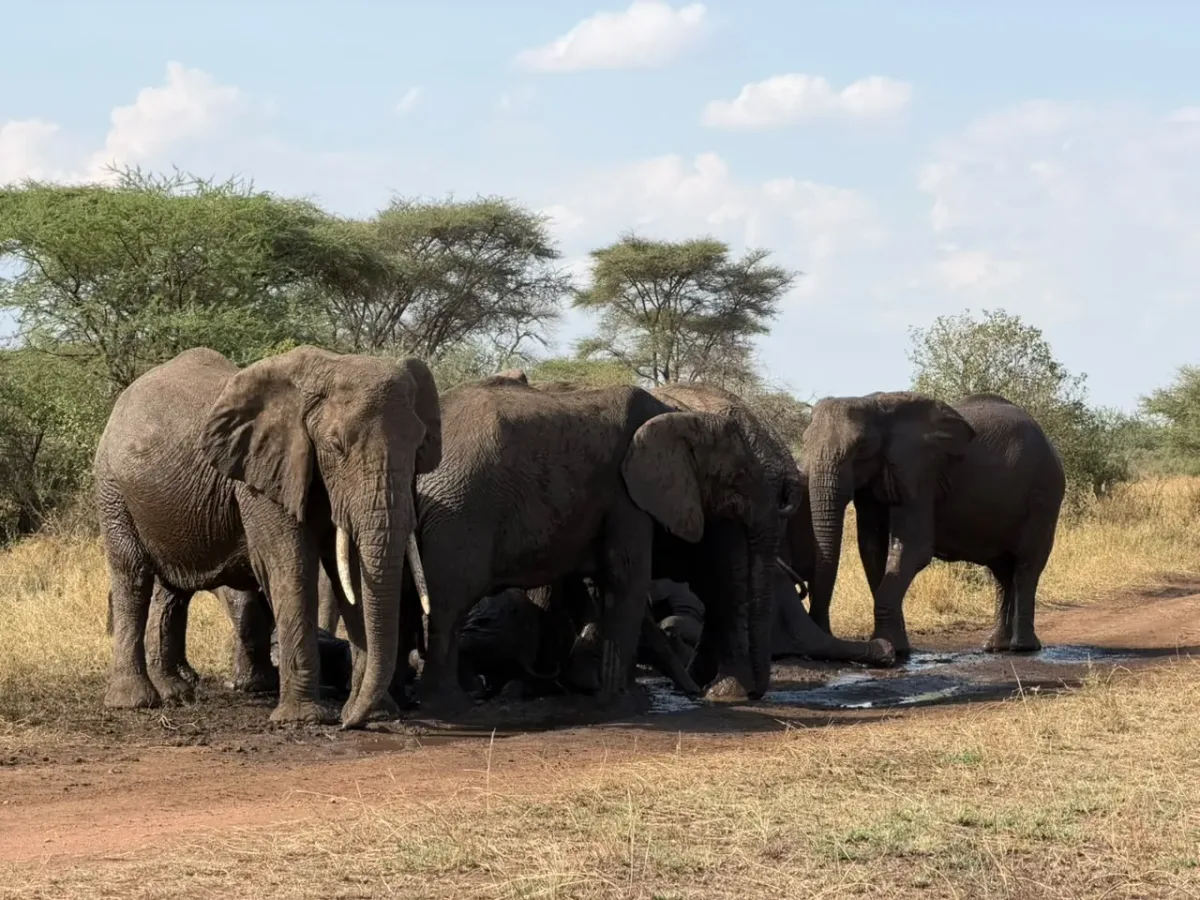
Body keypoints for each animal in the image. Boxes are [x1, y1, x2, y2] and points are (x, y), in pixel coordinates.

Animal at [94, 345, 441, 728]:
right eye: (336, 446)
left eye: (418, 445)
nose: (348, 721)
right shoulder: (260, 477)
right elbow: (290, 567)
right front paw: (306, 718)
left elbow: (350, 576)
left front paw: (375, 714)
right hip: (112, 488)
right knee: (132, 576)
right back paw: (135, 702)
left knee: (172, 591)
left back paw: (177, 694)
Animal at [409, 375, 781, 712]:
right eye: (739, 476)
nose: (755, 695)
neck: (677, 415)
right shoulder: (624, 493)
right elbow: (626, 576)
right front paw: (621, 700)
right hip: (461, 514)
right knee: (450, 601)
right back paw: (448, 703)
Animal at [801, 391, 1065, 657]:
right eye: (804, 442)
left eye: (861, 447)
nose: (825, 630)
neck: (875, 404)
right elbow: (872, 550)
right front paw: (897, 648)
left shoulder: (919, 474)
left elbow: (913, 549)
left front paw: (890, 648)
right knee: (1001, 570)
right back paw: (995, 646)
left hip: (1044, 495)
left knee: (1027, 566)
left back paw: (1023, 648)